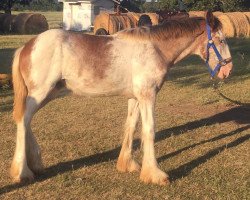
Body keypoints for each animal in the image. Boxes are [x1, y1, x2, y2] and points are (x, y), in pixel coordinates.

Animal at [10, 10, 232, 185]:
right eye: (221, 40)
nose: (228, 70)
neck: (154, 48)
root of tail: (28, 45)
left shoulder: (135, 98)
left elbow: (131, 126)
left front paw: (128, 164)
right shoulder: (148, 96)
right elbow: (149, 130)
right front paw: (155, 174)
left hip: (47, 94)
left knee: (26, 121)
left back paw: (36, 163)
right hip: (40, 93)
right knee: (22, 120)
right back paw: (22, 172)